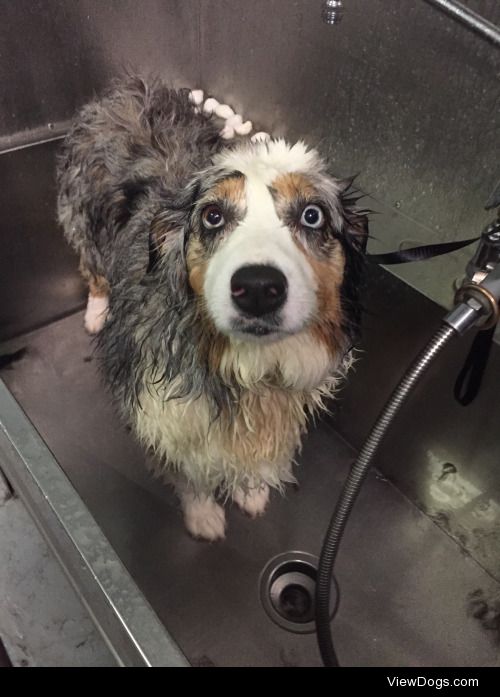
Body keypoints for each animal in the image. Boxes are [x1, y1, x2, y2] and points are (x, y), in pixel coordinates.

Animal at [56, 77, 370, 544]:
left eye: (312, 215)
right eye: (213, 216)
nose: (258, 288)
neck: (249, 369)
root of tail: (128, 89)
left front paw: (251, 493)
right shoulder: (164, 416)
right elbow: (191, 476)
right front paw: (203, 516)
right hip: (83, 219)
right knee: (91, 266)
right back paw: (97, 310)